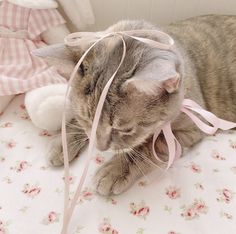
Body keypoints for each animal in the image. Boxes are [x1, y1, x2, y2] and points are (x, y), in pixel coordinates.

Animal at [46, 15, 236, 196]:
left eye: (125, 129)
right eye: (86, 119)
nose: (100, 147)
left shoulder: (192, 128)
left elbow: (148, 146)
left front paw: (116, 170)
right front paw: (63, 142)